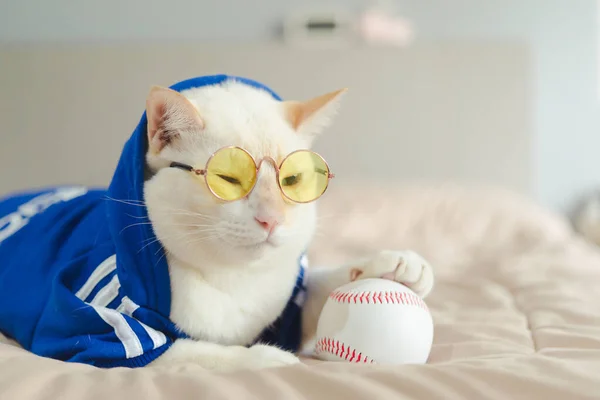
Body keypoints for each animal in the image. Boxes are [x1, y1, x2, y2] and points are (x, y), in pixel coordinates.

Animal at [143, 80, 434, 372]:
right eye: (228, 178)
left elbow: (322, 283)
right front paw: (269, 357)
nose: (271, 219)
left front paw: (393, 264)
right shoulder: (135, 338)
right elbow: (194, 352)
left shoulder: (292, 307)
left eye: (291, 179)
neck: (233, 277)